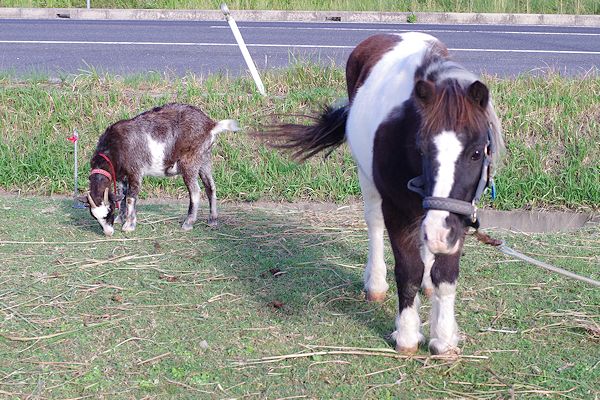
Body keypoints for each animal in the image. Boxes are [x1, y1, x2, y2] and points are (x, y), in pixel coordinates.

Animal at [78, 102, 240, 238]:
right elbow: (122, 196)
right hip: (204, 159)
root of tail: (211, 125)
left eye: (109, 211)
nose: (108, 233)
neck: (114, 147)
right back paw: (212, 220)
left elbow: (130, 198)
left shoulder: (136, 171)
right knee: (210, 187)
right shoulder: (121, 177)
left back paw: (188, 223)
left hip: (190, 162)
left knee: (195, 191)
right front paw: (120, 218)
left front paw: (129, 226)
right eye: (94, 216)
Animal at [268, 32, 502, 354]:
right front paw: (407, 335)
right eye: (421, 148)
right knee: (374, 224)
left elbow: (445, 276)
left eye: (476, 152)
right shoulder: (398, 209)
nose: (439, 233)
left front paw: (443, 338)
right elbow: (407, 271)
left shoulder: (460, 215)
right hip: (367, 178)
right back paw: (376, 284)